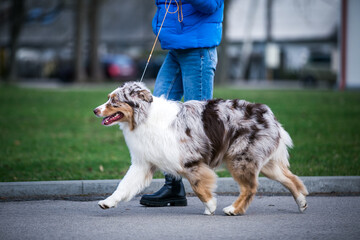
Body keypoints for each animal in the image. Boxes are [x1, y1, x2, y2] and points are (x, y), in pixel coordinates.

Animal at [93, 82, 306, 216]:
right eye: (108, 98)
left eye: (114, 101)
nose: (95, 110)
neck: (144, 117)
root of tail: (269, 115)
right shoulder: (143, 164)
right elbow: (124, 185)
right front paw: (108, 202)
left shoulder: (190, 160)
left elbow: (198, 186)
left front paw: (210, 206)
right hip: (265, 163)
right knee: (290, 179)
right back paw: (302, 202)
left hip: (239, 158)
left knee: (250, 188)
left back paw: (233, 210)